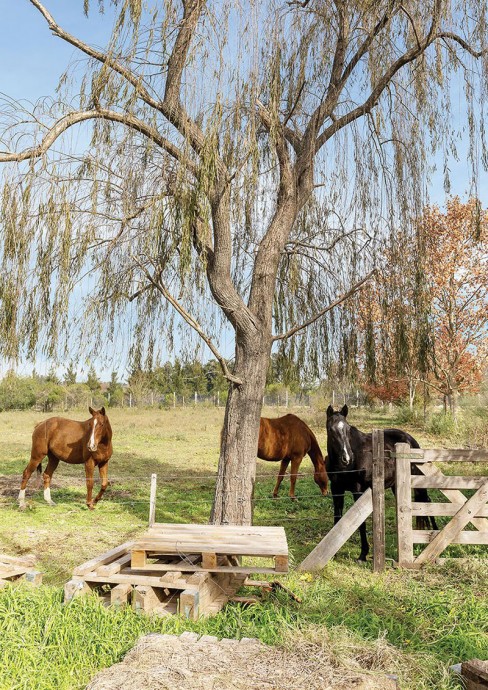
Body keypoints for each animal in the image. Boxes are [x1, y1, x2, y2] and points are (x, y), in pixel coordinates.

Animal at [326, 404, 436, 560]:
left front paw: (363, 554)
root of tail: (410, 439)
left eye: (347, 429)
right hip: (396, 486)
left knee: (427, 501)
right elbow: (337, 517)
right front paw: (333, 552)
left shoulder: (357, 490)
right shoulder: (336, 489)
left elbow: (361, 523)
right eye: (331, 429)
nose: (346, 458)